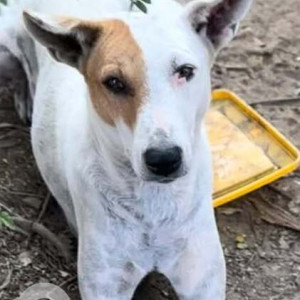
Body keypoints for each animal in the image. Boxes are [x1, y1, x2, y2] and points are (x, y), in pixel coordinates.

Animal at [0, 0, 253, 298]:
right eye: (113, 82)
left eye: (185, 71)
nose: (164, 159)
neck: (154, 206)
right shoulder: (105, 285)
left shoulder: (202, 278)